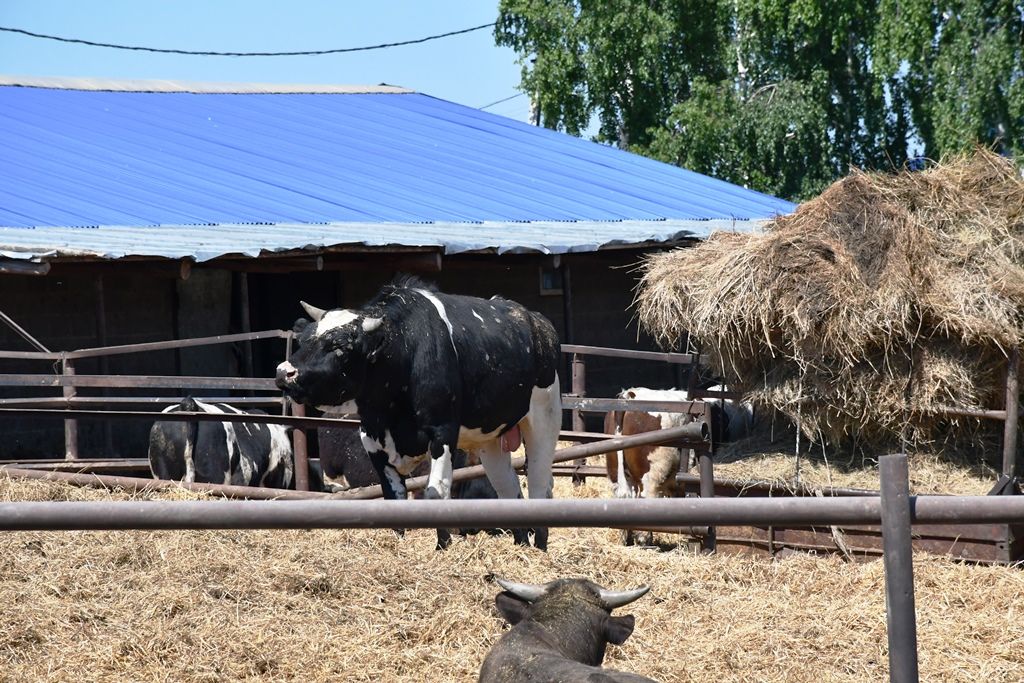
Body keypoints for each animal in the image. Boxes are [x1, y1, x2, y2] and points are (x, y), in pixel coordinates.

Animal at [274, 274, 561, 548]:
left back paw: (539, 549)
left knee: (540, 487)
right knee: (508, 490)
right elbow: (395, 497)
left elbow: (435, 493)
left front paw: (443, 549)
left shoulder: (443, 433)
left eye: (340, 347)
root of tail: (538, 324)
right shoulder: (371, 439)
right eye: (303, 340)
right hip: (490, 440)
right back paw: (521, 547)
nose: (283, 372)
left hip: (544, 420)